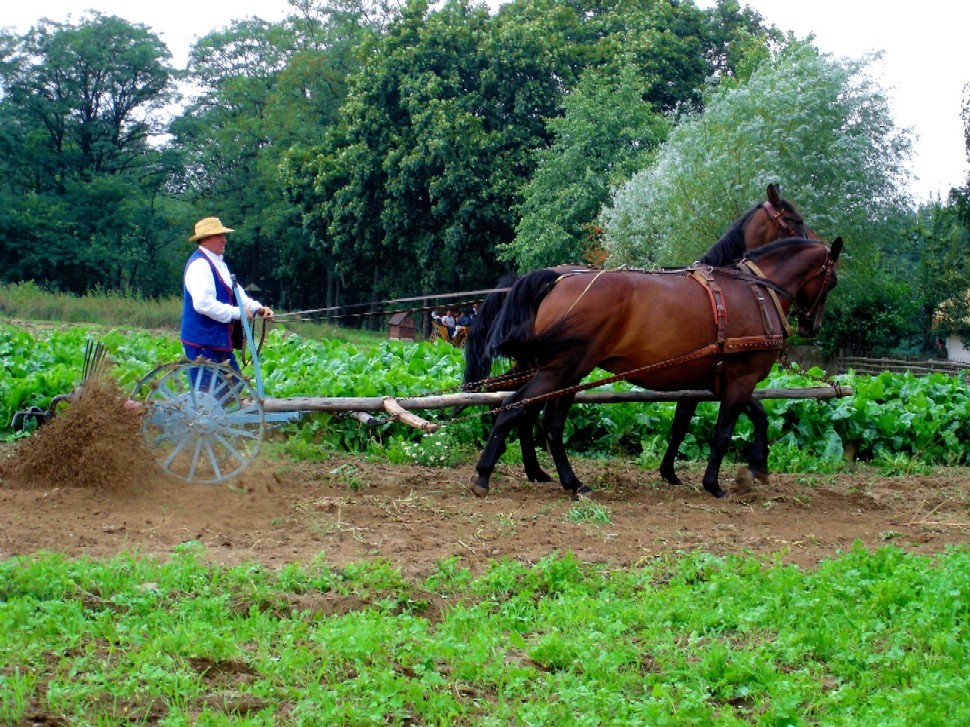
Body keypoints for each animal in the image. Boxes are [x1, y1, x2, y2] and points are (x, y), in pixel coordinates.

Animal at [466, 185, 812, 486]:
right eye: (797, 220)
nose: (816, 240)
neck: (722, 290)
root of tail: (550, 278)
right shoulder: (709, 378)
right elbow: (689, 423)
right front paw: (676, 473)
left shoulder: (702, 379)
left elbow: (687, 422)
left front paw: (671, 472)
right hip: (560, 367)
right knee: (525, 409)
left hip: (552, 367)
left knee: (524, 409)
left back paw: (535, 470)